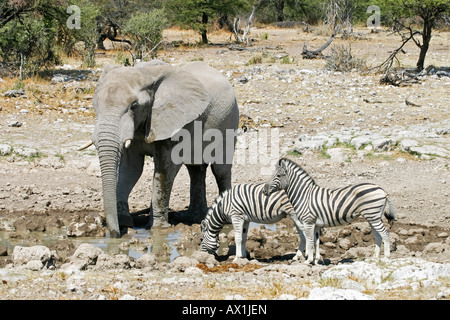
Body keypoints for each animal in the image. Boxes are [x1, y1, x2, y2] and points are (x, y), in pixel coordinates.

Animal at [81, 60, 243, 238]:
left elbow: (165, 169)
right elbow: (131, 169)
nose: (114, 235)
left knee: (220, 170)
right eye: (95, 104)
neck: (146, 74)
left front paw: (158, 229)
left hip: (230, 120)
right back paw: (191, 217)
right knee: (195, 169)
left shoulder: (175, 122)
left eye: (134, 106)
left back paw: (225, 219)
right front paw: (124, 221)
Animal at [262, 158, 396, 264]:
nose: (264, 190)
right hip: (372, 217)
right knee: (378, 235)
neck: (304, 195)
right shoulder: (316, 224)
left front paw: (308, 260)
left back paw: (386, 257)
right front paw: (317, 260)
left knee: (385, 233)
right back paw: (375, 258)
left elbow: (310, 241)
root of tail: (382, 189)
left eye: (278, 176)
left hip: (373, 215)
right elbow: (316, 242)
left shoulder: (308, 221)